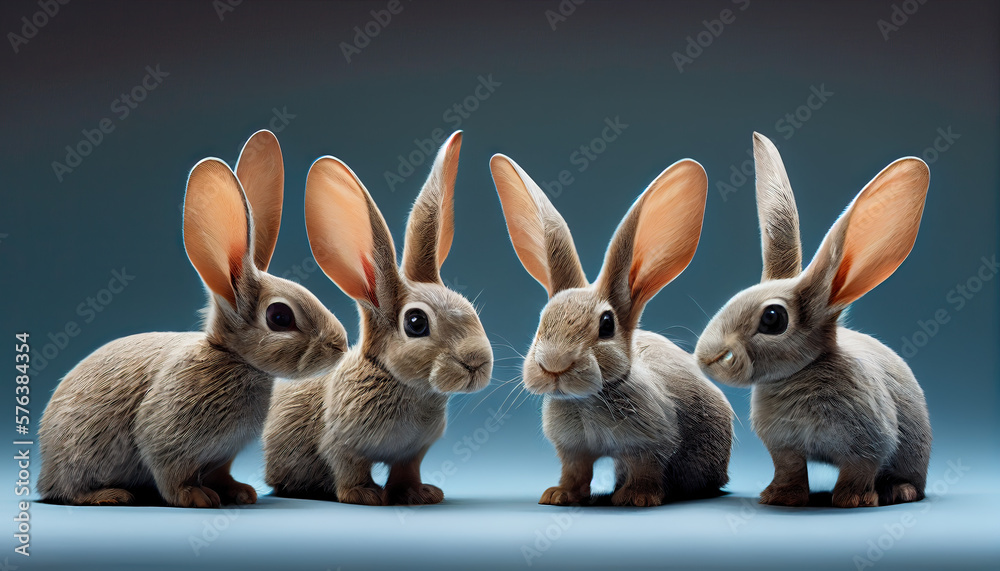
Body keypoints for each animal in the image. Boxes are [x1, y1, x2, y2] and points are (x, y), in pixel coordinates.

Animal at [38, 130, 349, 508]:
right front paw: (196, 498)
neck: (231, 357)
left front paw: (239, 493)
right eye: (279, 316)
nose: (340, 345)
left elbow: (220, 472)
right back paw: (110, 495)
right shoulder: (165, 438)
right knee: (69, 490)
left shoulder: (223, 453)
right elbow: (170, 473)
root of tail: (44, 471)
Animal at [263, 131, 493, 506]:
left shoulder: (412, 452)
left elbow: (406, 471)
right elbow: (348, 467)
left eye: (470, 309)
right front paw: (364, 495)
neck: (403, 383)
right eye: (416, 323)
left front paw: (419, 494)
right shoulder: (341, 444)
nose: (476, 362)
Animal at [490, 154, 733, 507]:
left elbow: (646, 468)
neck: (588, 399)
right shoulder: (574, 450)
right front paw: (558, 495)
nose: (554, 365)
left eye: (606, 325)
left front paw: (635, 498)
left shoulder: (650, 444)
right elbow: (575, 472)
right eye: (542, 320)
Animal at [694, 132, 932, 508]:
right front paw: (779, 497)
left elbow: (859, 469)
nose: (706, 357)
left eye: (772, 319)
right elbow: (790, 470)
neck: (800, 374)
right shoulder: (784, 448)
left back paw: (898, 491)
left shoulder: (869, 444)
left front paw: (851, 500)